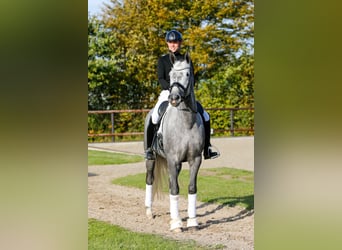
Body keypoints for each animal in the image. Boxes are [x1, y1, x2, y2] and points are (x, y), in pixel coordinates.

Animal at [144, 52, 204, 232]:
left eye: (187, 74)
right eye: (170, 75)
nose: (174, 98)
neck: (186, 122)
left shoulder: (195, 159)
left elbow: (191, 188)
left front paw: (192, 221)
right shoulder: (172, 159)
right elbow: (175, 188)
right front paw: (177, 224)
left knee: (172, 182)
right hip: (152, 159)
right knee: (150, 179)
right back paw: (149, 212)